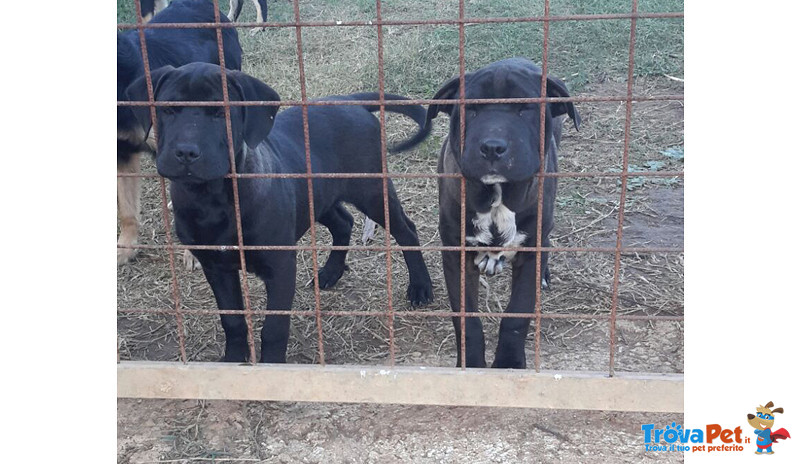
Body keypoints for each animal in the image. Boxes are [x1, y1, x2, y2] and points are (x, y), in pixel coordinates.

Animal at [127, 63, 434, 364]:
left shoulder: (281, 266)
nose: (186, 152)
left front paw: (272, 366)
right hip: (319, 195)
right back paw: (330, 273)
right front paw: (233, 361)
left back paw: (420, 287)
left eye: (220, 113)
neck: (211, 198)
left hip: (371, 190)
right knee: (343, 222)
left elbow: (274, 328)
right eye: (167, 110)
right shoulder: (216, 267)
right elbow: (232, 320)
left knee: (406, 230)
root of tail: (350, 101)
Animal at [424, 59, 580, 370]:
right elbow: (466, 319)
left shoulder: (532, 251)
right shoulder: (455, 253)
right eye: (471, 109)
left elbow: (517, 314)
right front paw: (471, 365)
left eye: (525, 109)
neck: (496, 199)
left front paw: (509, 364)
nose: (492, 146)